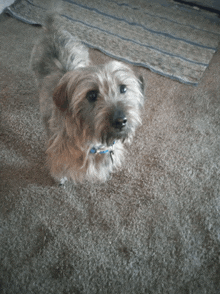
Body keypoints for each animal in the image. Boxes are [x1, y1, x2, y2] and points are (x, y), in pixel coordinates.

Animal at [30, 14, 144, 184]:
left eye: (123, 88)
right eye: (92, 95)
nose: (121, 121)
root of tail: (52, 28)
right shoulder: (58, 155)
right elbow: (58, 169)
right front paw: (60, 179)